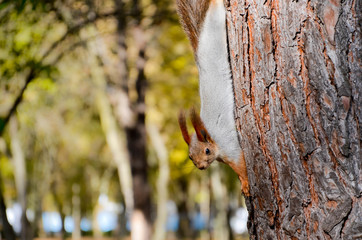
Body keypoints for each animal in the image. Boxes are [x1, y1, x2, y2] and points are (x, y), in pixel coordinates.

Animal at [177, 0, 250, 197]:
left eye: (207, 151)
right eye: (190, 157)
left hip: (216, 25)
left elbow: (241, 163)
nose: (201, 167)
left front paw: (246, 183)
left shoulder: (229, 144)